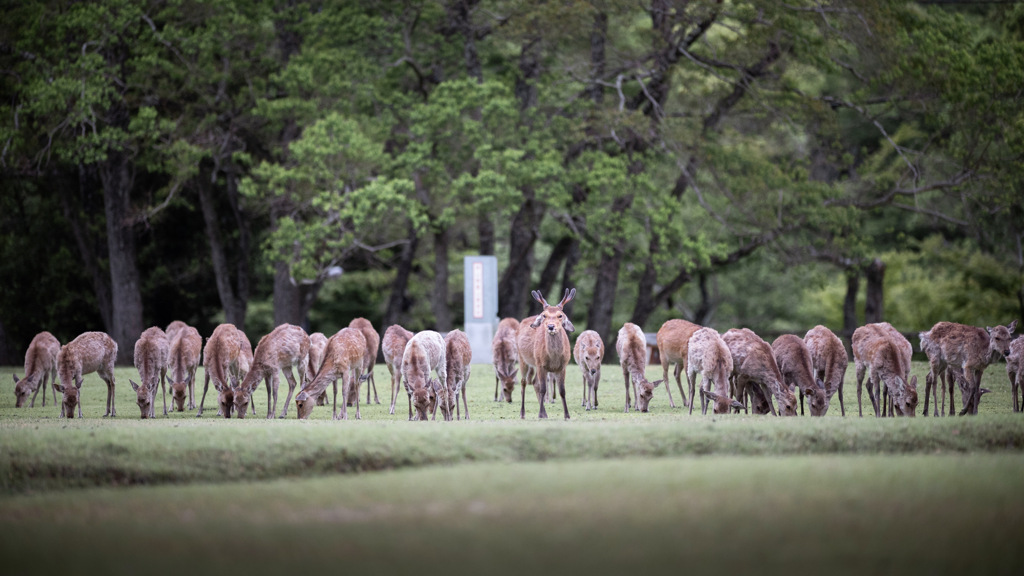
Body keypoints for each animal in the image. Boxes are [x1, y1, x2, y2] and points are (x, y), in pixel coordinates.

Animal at [516, 286, 573, 416]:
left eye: (560, 315)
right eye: (544, 315)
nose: (551, 326)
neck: (554, 358)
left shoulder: (563, 366)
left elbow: (562, 390)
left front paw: (567, 415)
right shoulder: (541, 364)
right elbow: (543, 389)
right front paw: (540, 414)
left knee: (534, 382)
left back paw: (544, 413)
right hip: (523, 359)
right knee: (524, 382)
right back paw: (522, 413)